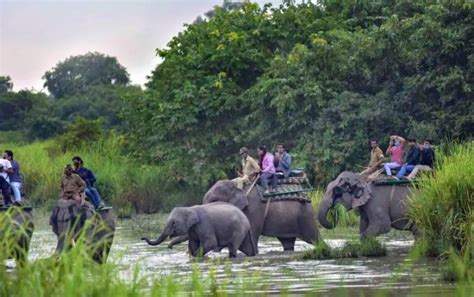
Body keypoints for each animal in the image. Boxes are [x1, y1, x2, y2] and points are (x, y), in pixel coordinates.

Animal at [168, 178, 320, 252]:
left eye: (214, 201)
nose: (169, 247)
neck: (235, 185)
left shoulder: (254, 209)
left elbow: (251, 238)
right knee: (287, 242)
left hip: (305, 215)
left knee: (314, 238)